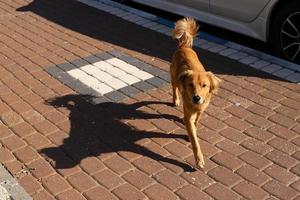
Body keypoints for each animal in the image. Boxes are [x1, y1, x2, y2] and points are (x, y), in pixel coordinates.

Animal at [170, 17, 221, 169]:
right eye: (190, 85)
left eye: (204, 85)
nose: (196, 98)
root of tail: (184, 47)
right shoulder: (189, 114)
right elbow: (194, 140)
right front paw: (199, 159)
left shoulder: (201, 109)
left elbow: (197, 121)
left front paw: (196, 126)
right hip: (174, 77)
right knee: (174, 87)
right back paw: (176, 100)